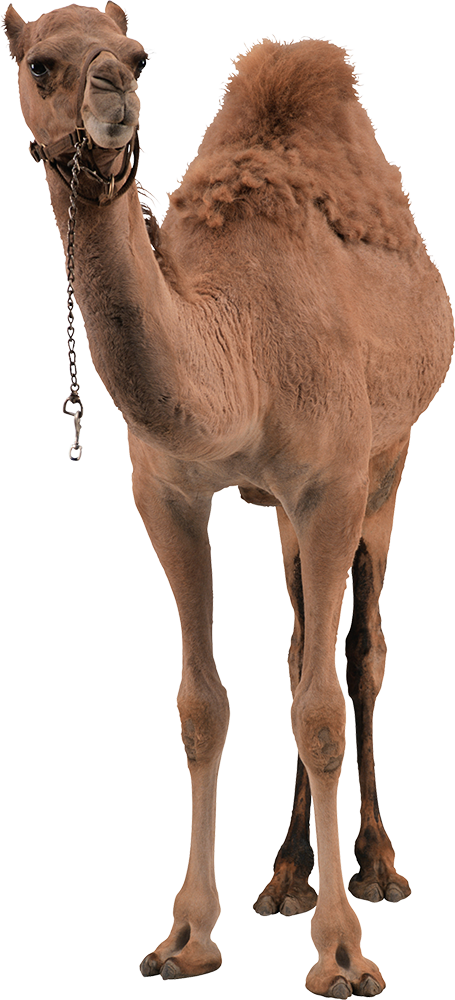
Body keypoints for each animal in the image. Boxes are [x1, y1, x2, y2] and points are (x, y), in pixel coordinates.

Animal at [5, 3, 453, 996]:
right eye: (41, 62)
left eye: (138, 57)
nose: (114, 95)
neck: (239, 341)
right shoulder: (167, 493)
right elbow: (202, 704)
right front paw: (184, 936)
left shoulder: (330, 482)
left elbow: (323, 707)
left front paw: (342, 954)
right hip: (286, 510)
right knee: (295, 649)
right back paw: (285, 876)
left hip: (389, 461)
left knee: (358, 654)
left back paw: (374, 867)